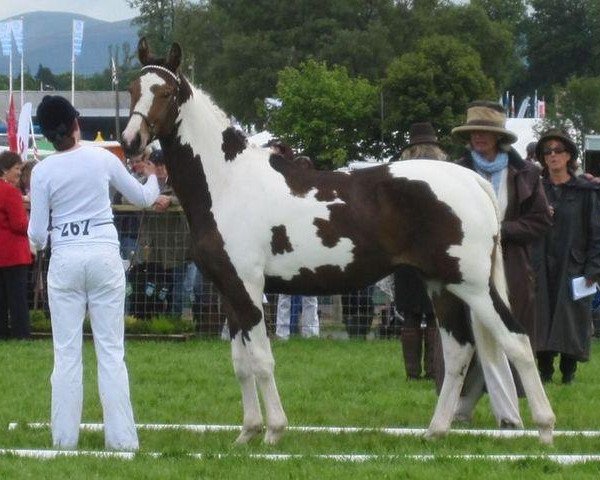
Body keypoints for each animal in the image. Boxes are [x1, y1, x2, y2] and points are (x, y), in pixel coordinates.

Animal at [122, 38, 556, 446]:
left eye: (165, 92)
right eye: (132, 88)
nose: (130, 141)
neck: (227, 181)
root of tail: (474, 180)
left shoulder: (248, 288)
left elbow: (262, 360)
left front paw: (273, 431)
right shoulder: (229, 291)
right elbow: (241, 364)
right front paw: (246, 433)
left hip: (474, 286)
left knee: (517, 341)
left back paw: (545, 430)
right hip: (441, 285)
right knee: (458, 351)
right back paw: (435, 431)